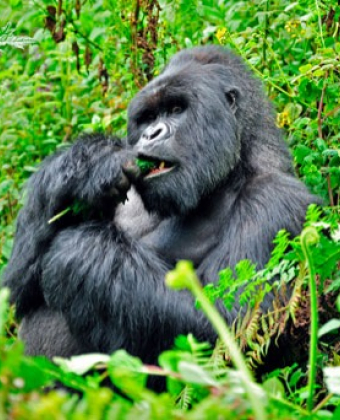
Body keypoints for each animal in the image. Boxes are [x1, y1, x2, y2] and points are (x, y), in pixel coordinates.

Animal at [2, 47, 318, 376]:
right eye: (148, 118)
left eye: (177, 109)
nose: (152, 134)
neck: (234, 168)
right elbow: (15, 292)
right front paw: (84, 166)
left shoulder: (276, 201)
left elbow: (228, 327)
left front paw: (80, 252)